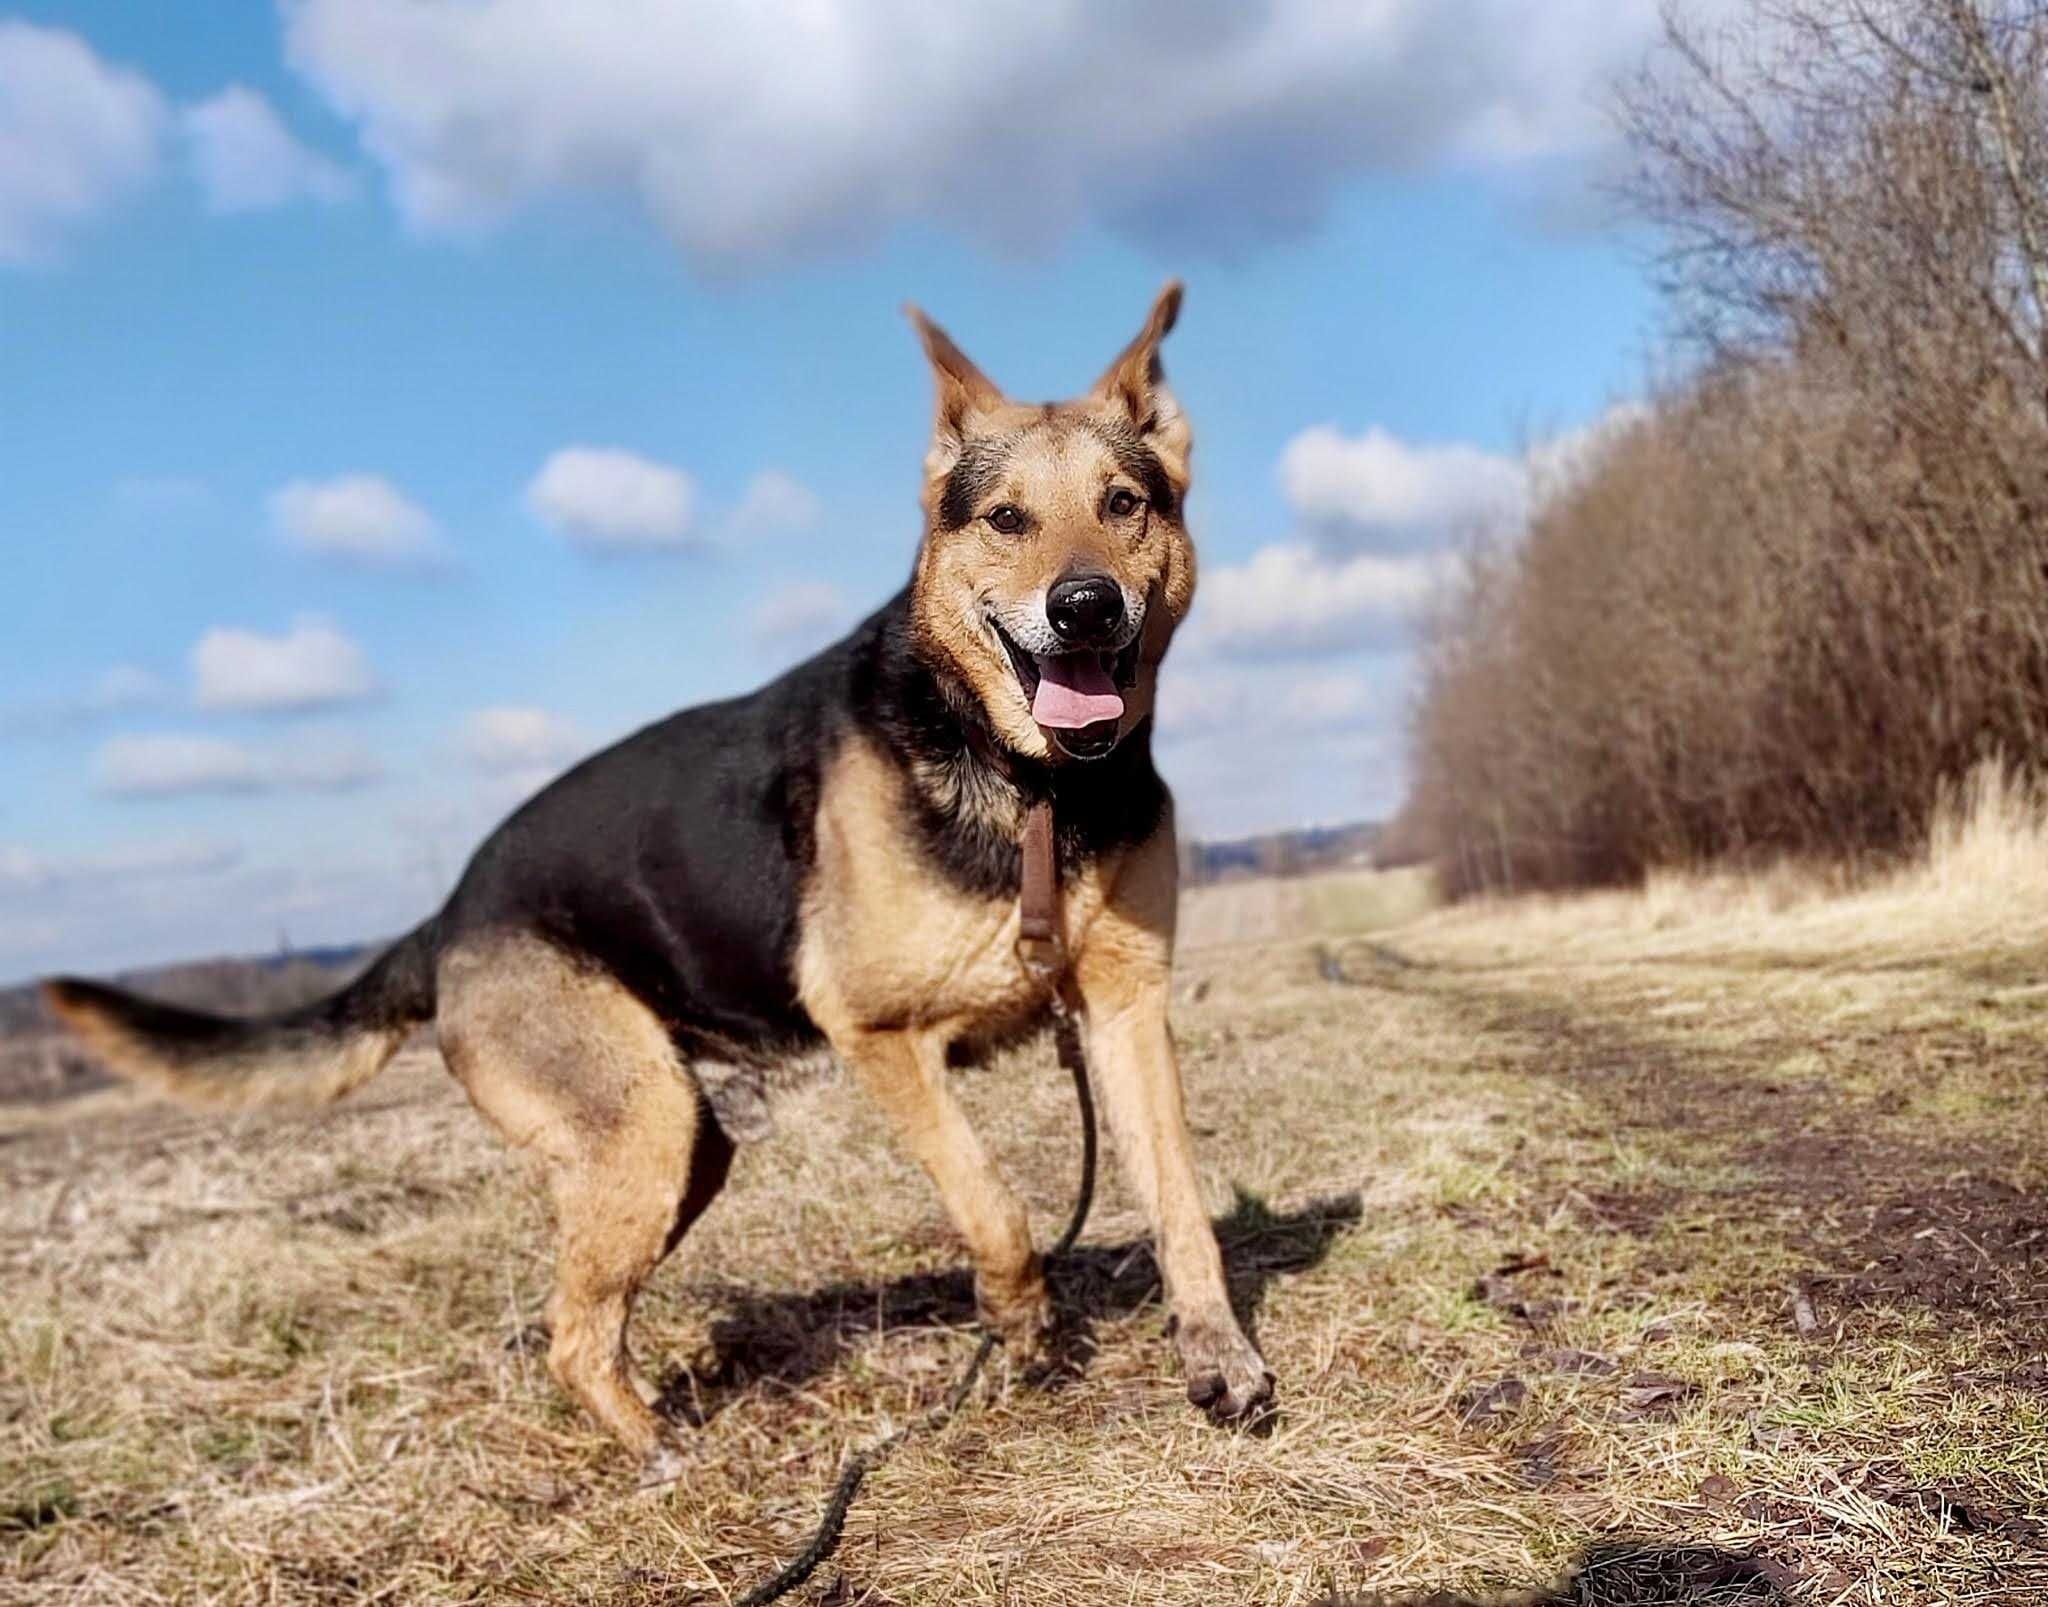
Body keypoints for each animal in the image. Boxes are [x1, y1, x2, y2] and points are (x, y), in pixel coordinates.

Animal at [39, 282, 1269, 1482]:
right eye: (1005, 517)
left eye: (1125, 502)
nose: (1084, 606)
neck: (1032, 785)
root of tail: (446, 916)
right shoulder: (879, 1035)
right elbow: (994, 1205)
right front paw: (1019, 1329)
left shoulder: (1123, 1008)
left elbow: (1178, 1198)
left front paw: (1219, 1356)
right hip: (643, 1129)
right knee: (569, 1331)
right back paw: (666, 1455)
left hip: (676, 1150)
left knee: (590, 1306)